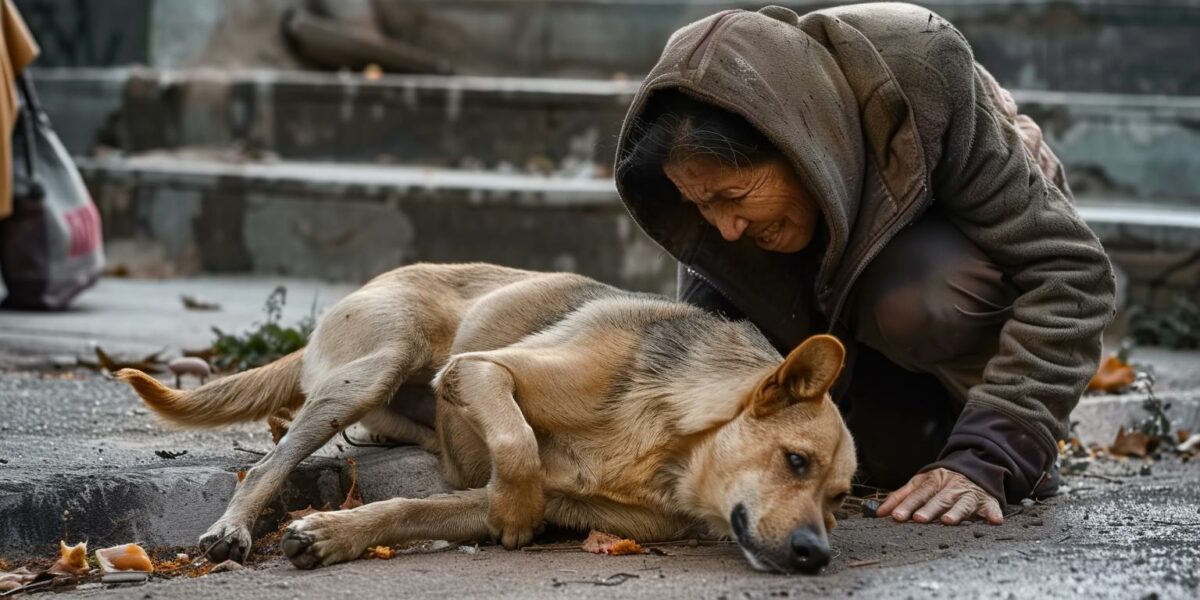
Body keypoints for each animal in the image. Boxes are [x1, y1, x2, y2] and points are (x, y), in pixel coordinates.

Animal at [117, 265, 859, 573]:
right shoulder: (478, 371)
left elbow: (406, 511)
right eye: (794, 461)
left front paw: (334, 534)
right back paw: (233, 528)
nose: (815, 556)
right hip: (380, 363)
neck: (663, 444)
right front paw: (516, 516)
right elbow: (516, 442)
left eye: (838, 500)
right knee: (269, 461)